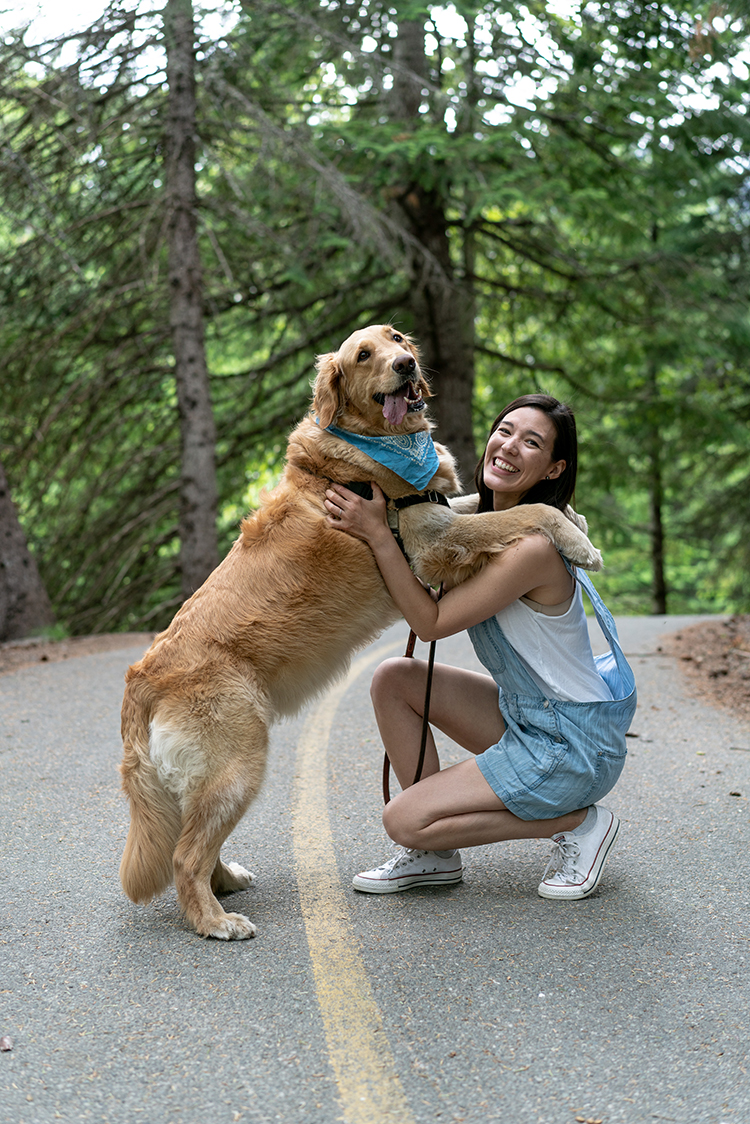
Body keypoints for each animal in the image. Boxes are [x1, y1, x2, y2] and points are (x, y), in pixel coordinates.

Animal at [118, 325, 602, 939]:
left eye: (395, 338)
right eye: (364, 355)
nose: (406, 365)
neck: (377, 448)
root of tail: (141, 676)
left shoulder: (443, 512)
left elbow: (493, 501)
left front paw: (577, 519)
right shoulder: (433, 541)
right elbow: (522, 515)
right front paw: (579, 542)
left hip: (218, 773)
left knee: (194, 840)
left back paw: (224, 882)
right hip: (240, 761)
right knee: (184, 854)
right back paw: (215, 921)